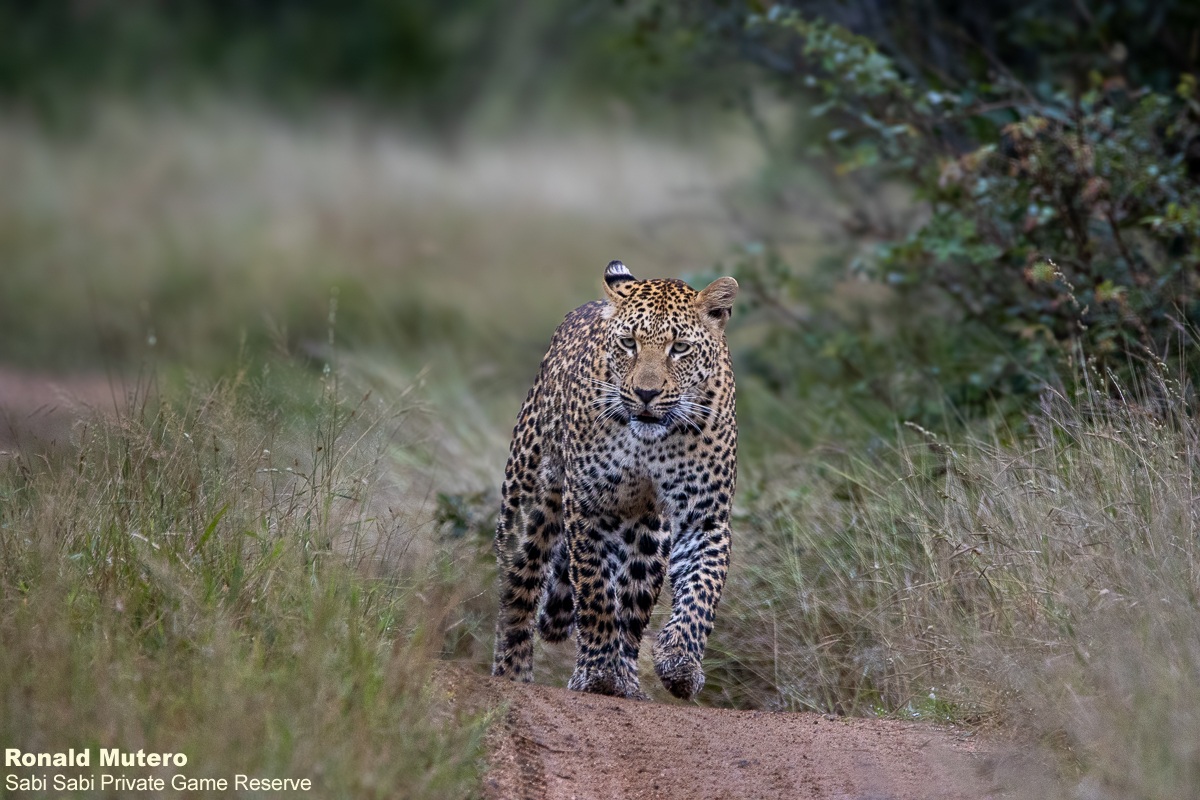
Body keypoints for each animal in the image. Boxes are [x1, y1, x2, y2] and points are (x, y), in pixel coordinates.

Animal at [491, 259, 738, 701]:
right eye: (628, 344)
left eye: (680, 348)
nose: (646, 393)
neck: (650, 442)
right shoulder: (588, 506)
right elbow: (595, 590)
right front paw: (598, 674)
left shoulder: (705, 514)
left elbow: (701, 590)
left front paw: (679, 662)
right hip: (526, 511)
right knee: (517, 594)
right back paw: (513, 675)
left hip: (650, 536)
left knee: (634, 606)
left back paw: (629, 680)